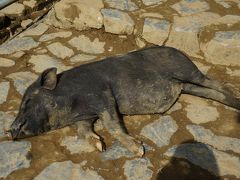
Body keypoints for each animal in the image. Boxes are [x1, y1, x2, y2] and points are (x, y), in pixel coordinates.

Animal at [6, 45, 239, 155]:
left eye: (27, 101)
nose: (9, 130)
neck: (73, 107)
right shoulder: (83, 118)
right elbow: (83, 132)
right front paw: (100, 146)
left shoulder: (101, 95)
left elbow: (112, 124)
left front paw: (139, 151)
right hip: (188, 85)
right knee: (210, 92)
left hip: (187, 71)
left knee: (214, 83)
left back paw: (235, 99)